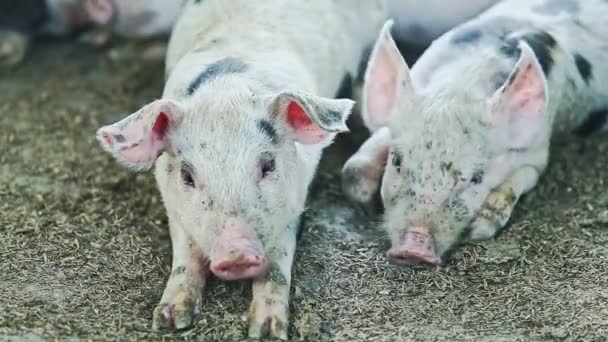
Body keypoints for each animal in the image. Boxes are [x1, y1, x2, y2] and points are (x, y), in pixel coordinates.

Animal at [97, 0, 388, 340]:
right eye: (187, 175)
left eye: (268, 165)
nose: (237, 252)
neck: (229, 90)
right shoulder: (173, 204)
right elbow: (185, 254)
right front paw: (169, 320)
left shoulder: (296, 199)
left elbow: (277, 264)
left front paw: (267, 330)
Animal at [342, 0, 608, 268]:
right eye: (397, 161)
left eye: (476, 178)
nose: (414, 248)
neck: (460, 86)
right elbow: (354, 168)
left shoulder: (537, 150)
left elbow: (517, 182)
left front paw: (477, 229)